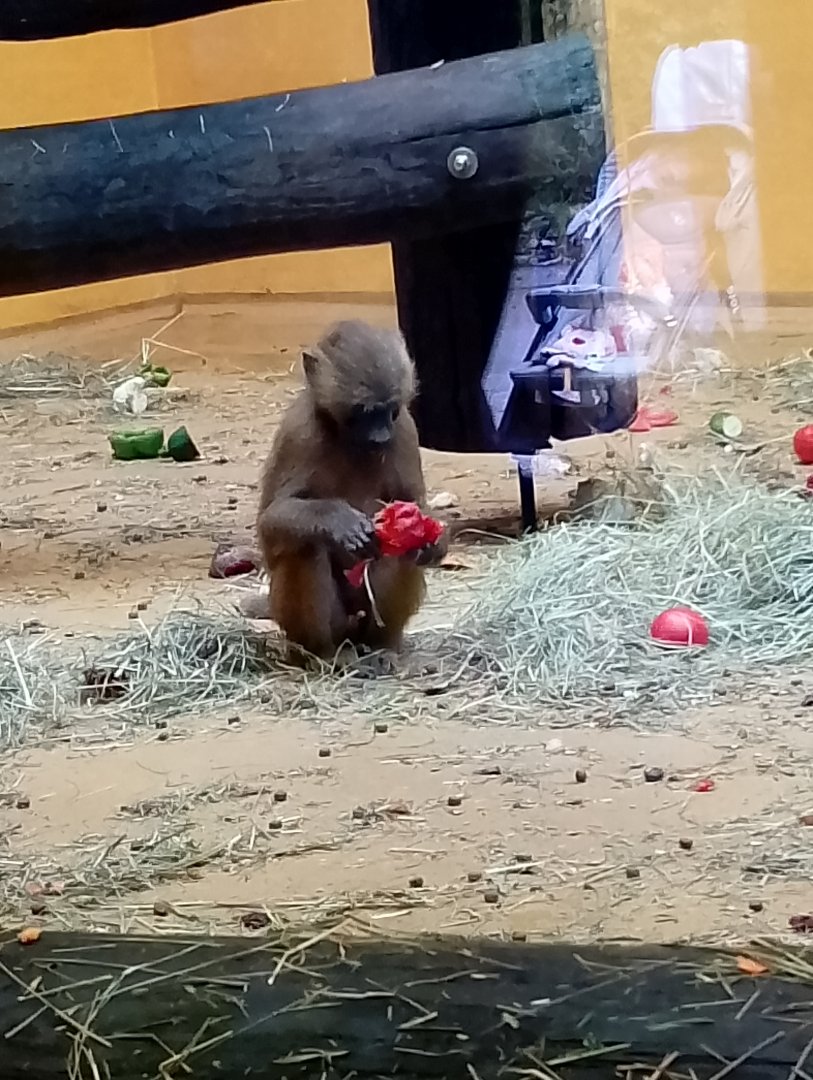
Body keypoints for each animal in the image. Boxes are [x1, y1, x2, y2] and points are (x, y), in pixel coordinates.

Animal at [257, 319, 448, 665]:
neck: (345, 437)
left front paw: (434, 539)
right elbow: (271, 522)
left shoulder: (405, 429)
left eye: (389, 410)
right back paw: (325, 655)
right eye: (364, 411)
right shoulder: (298, 432)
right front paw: (339, 521)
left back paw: (382, 647)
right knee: (304, 546)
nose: (381, 437)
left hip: (363, 619)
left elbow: (412, 505)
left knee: (403, 550)